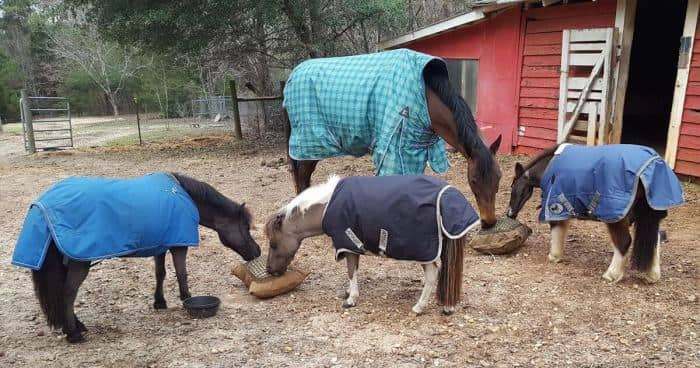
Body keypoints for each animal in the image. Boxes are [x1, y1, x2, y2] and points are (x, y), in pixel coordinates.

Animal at [17, 172, 262, 342]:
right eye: (245, 228)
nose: (257, 251)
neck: (183, 197)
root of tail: (42, 207)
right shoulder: (179, 245)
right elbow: (181, 274)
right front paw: (186, 300)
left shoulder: (161, 245)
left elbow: (160, 274)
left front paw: (159, 302)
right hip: (79, 262)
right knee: (68, 294)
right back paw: (74, 334)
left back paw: (77, 326)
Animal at [266, 175, 478, 314]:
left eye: (274, 244)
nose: (270, 270)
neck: (326, 206)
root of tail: (448, 196)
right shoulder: (353, 246)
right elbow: (354, 270)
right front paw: (349, 292)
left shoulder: (347, 244)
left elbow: (351, 271)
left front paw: (351, 299)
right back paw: (448, 306)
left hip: (426, 253)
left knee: (433, 275)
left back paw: (419, 307)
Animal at [282, 50, 500, 227]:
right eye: (473, 180)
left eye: (498, 177)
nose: (489, 222)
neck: (425, 98)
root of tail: (290, 78)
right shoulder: (395, 149)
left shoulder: (415, 149)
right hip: (309, 146)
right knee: (302, 178)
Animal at [508, 144, 684, 282]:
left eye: (513, 187)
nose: (510, 214)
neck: (550, 168)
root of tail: (653, 166)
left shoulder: (556, 207)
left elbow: (556, 230)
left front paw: (554, 256)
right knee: (655, 240)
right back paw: (652, 275)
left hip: (616, 218)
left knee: (624, 242)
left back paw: (612, 275)